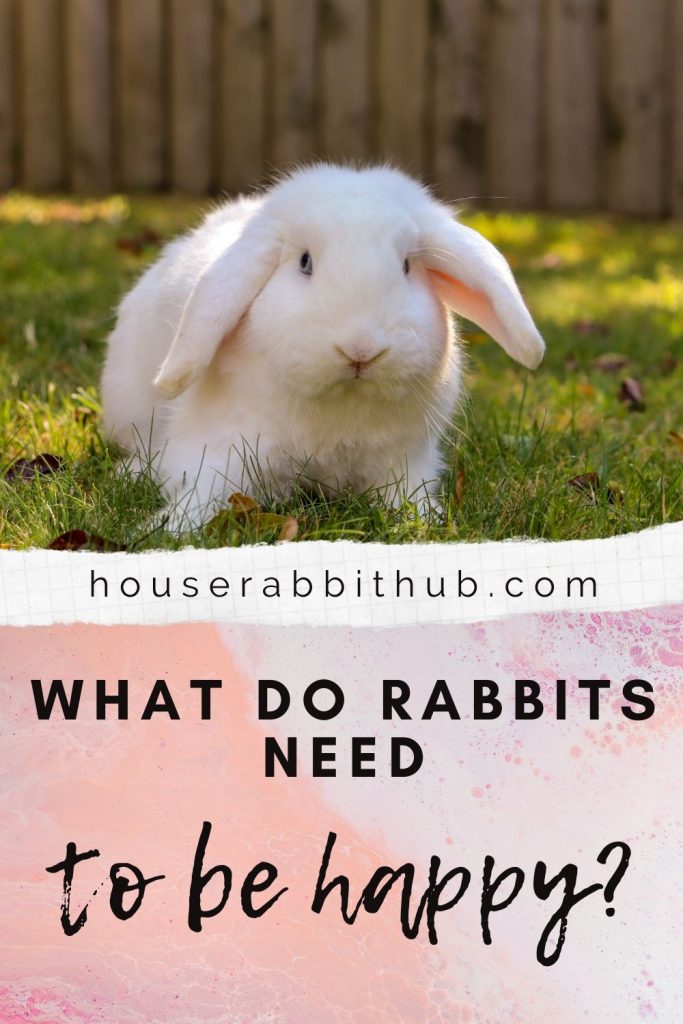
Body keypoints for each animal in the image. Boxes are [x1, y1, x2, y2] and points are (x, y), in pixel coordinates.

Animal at [100, 163, 545, 530]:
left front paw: (428, 523)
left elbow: (409, 499)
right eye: (305, 262)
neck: (342, 404)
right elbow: (204, 491)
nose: (361, 348)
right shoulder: (220, 448)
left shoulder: (405, 461)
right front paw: (171, 527)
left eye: (406, 267)